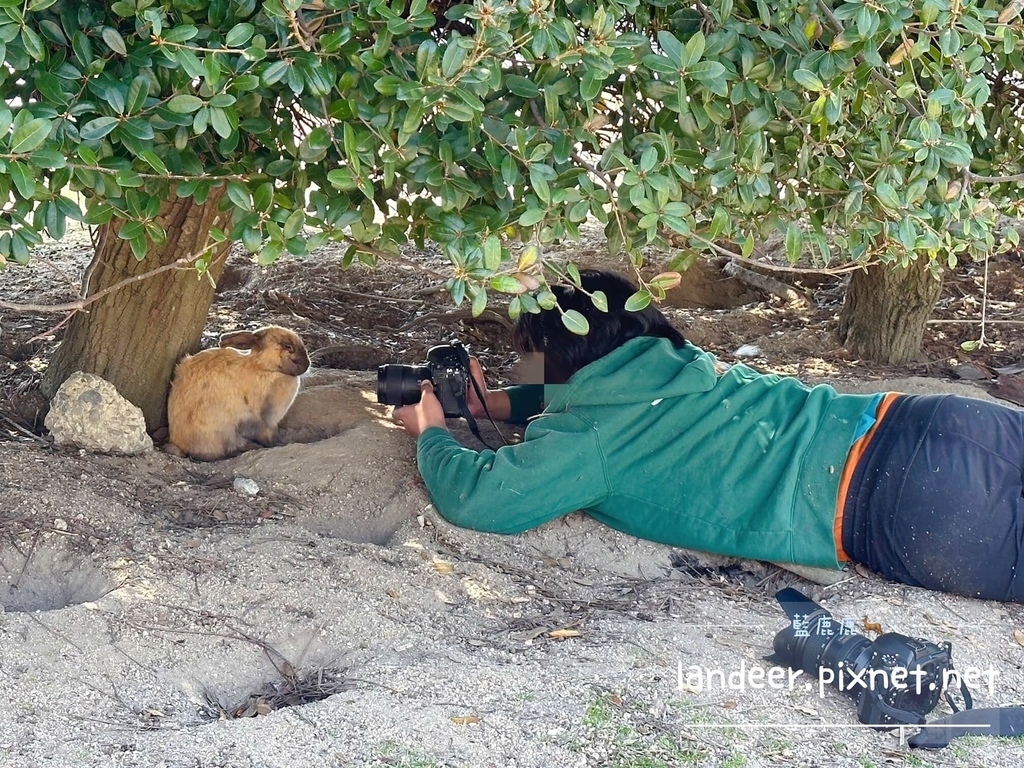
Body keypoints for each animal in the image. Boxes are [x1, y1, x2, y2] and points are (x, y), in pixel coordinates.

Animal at [165, 325, 309, 462]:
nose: (307, 365)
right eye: (287, 346)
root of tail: (179, 444)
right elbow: (268, 435)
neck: (264, 368)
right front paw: (278, 444)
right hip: (225, 431)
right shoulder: (265, 419)